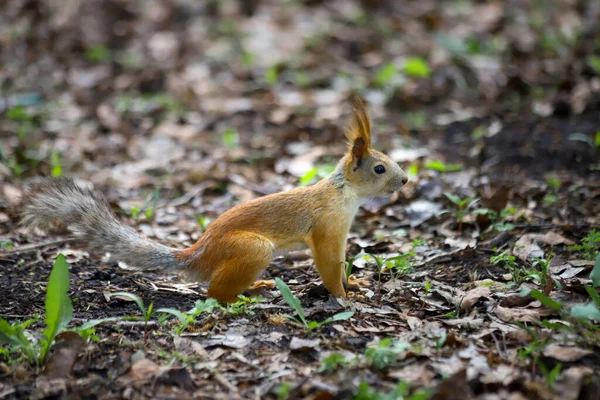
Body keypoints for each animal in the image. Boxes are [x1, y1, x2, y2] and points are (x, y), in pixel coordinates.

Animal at [22, 99, 408, 304]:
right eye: (379, 168)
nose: (405, 180)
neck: (343, 193)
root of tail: (197, 256)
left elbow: (340, 264)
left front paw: (353, 284)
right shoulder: (328, 227)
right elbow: (328, 264)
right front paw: (345, 295)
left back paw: (257, 287)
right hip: (253, 250)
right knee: (213, 293)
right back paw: (241, 296)